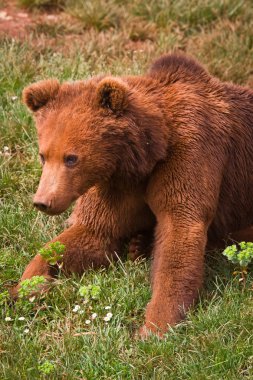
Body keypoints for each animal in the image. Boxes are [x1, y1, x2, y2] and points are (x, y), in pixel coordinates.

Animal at [13, 53, 253, 338]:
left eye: (71, 158)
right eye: (43, 155)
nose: (43, 201)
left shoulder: (191, 152)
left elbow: (179, 230)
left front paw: (154, 326)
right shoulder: (118, 186)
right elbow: (92, 233)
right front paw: (27, 286)